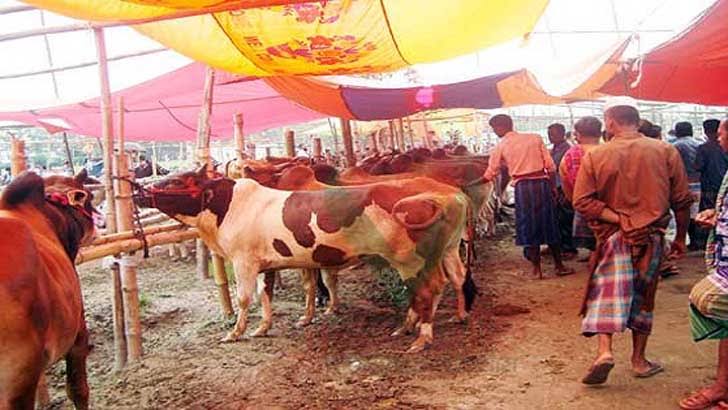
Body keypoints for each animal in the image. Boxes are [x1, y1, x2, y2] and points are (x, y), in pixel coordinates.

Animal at [136, 166, 469, 352]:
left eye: (178, 182)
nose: (140, 191)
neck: (227, 208)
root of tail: (447, 194)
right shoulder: (263, 263)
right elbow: (265, 294)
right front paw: (263, 327)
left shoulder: (243, 260)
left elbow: (244, 298)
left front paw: (234, 333)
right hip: (448, 249)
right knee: (454, 277)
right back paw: (449, 318)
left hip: (409, 259)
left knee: (428, 288)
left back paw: (421, 337)